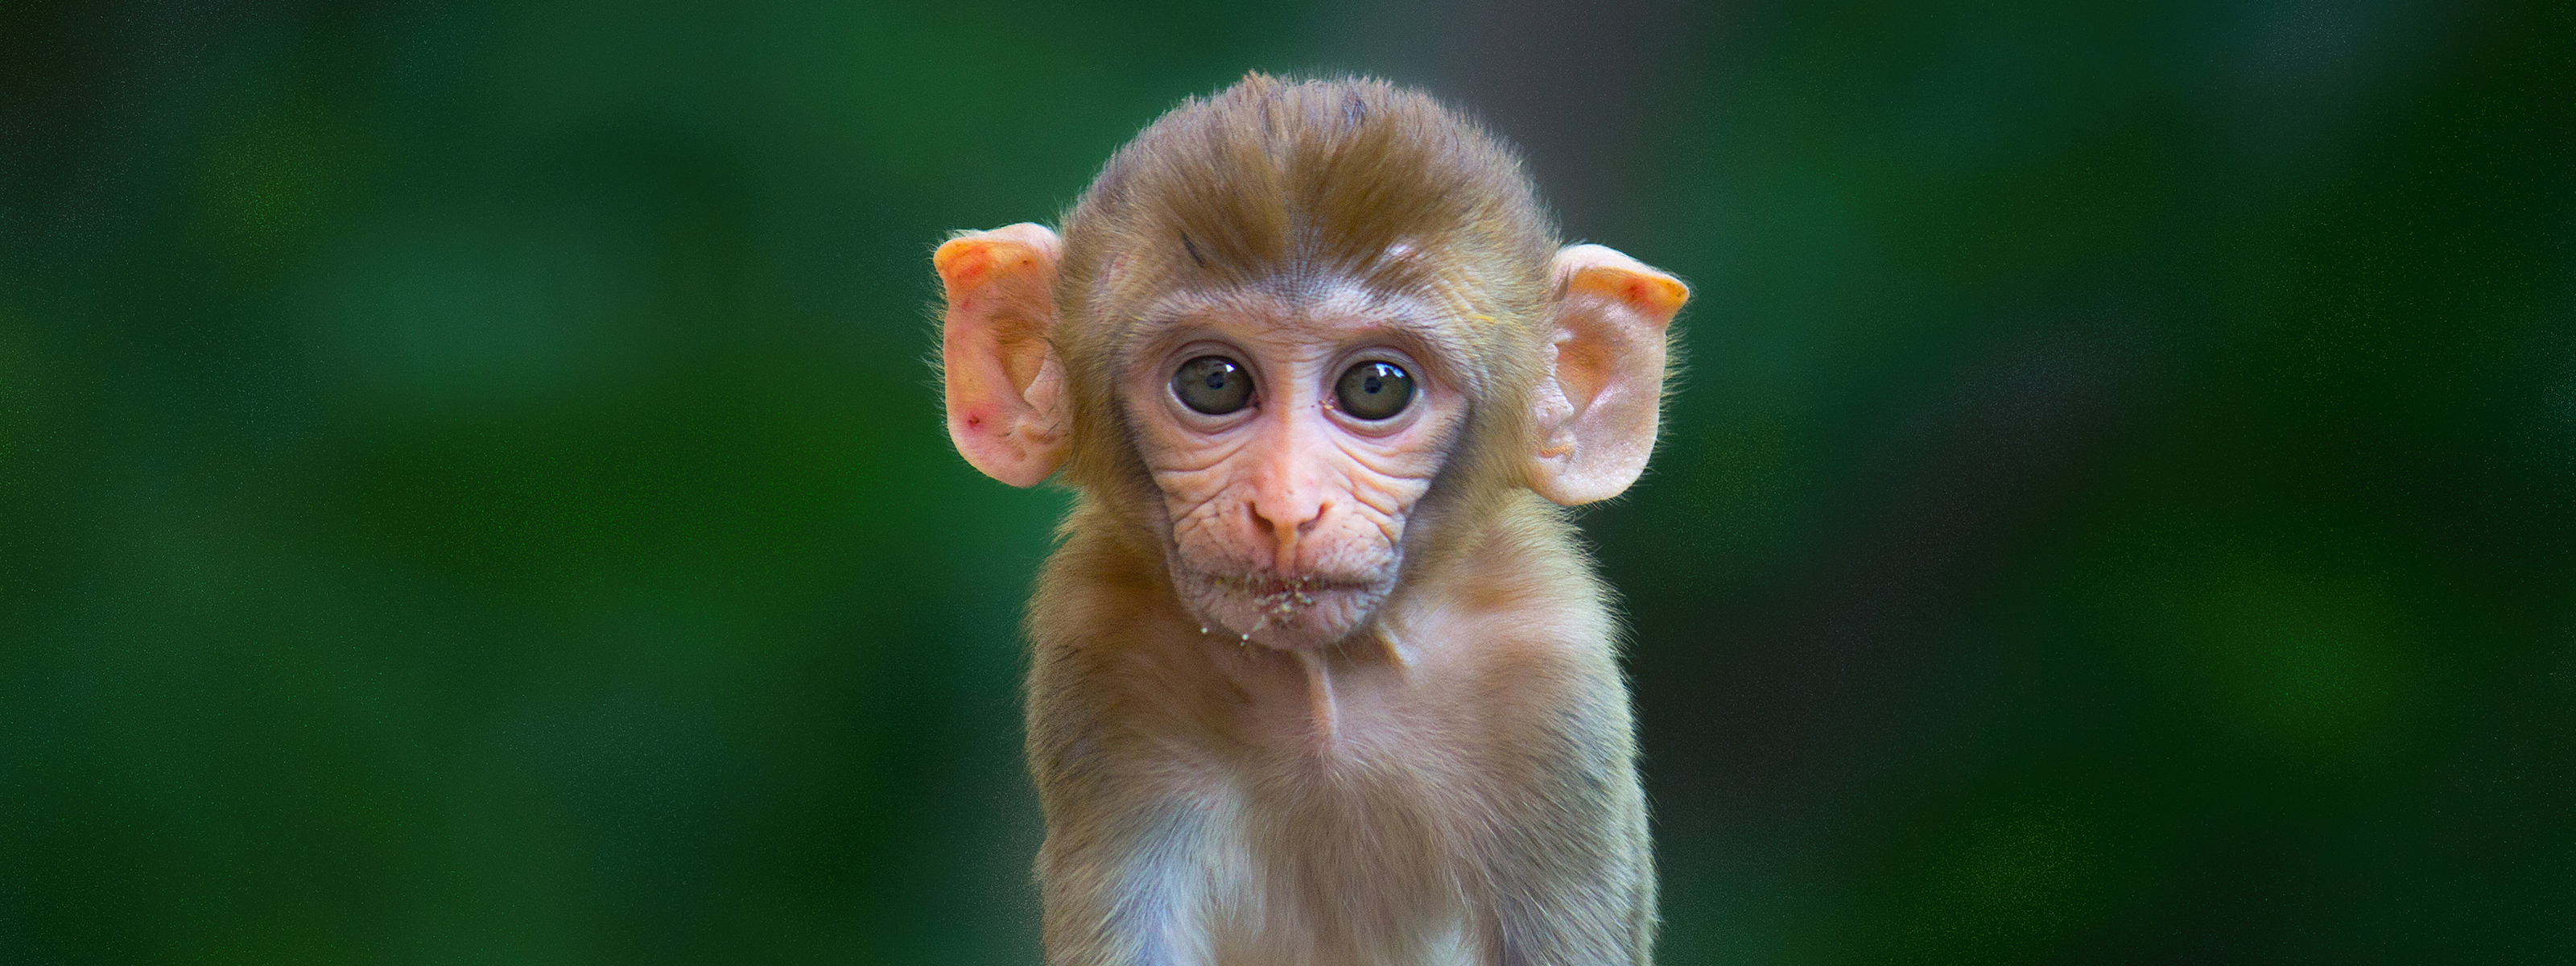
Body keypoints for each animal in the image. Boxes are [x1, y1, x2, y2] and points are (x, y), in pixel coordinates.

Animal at [932, 75, 1687, 965]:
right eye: (1214, 381)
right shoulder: (1104, 649)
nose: (1288, 510)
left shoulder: (1546, 673)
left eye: (1375, 387)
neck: (1323, 682)